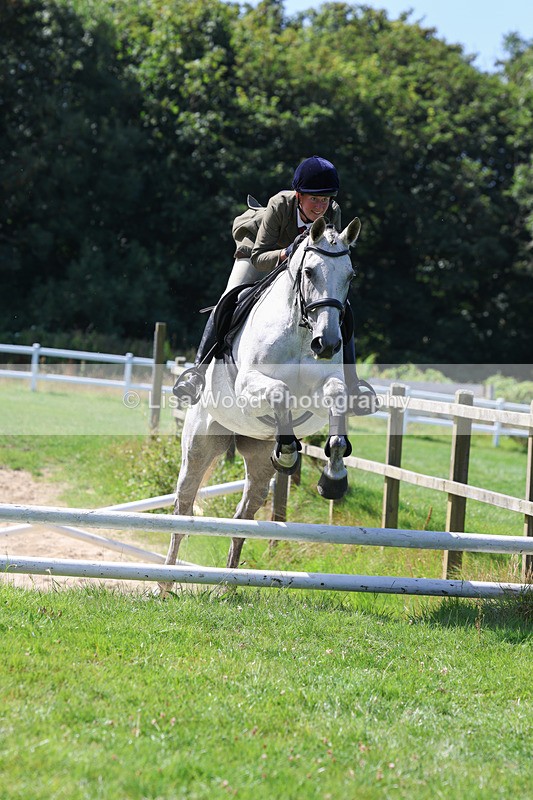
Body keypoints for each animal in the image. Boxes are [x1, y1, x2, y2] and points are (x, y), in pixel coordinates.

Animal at [165, 215, 362, 572]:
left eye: (350, 275)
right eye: (309, 271)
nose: (327, 344)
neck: (300, 330)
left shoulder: (321, 389)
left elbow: (337, 396)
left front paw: (334, 477)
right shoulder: (248, 385)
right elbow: (281, 391)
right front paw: (288, 451)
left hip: (256, 462)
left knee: (243, 517)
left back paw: (227, 581)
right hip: (200, 445)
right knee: (183, 507)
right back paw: (166, 578)